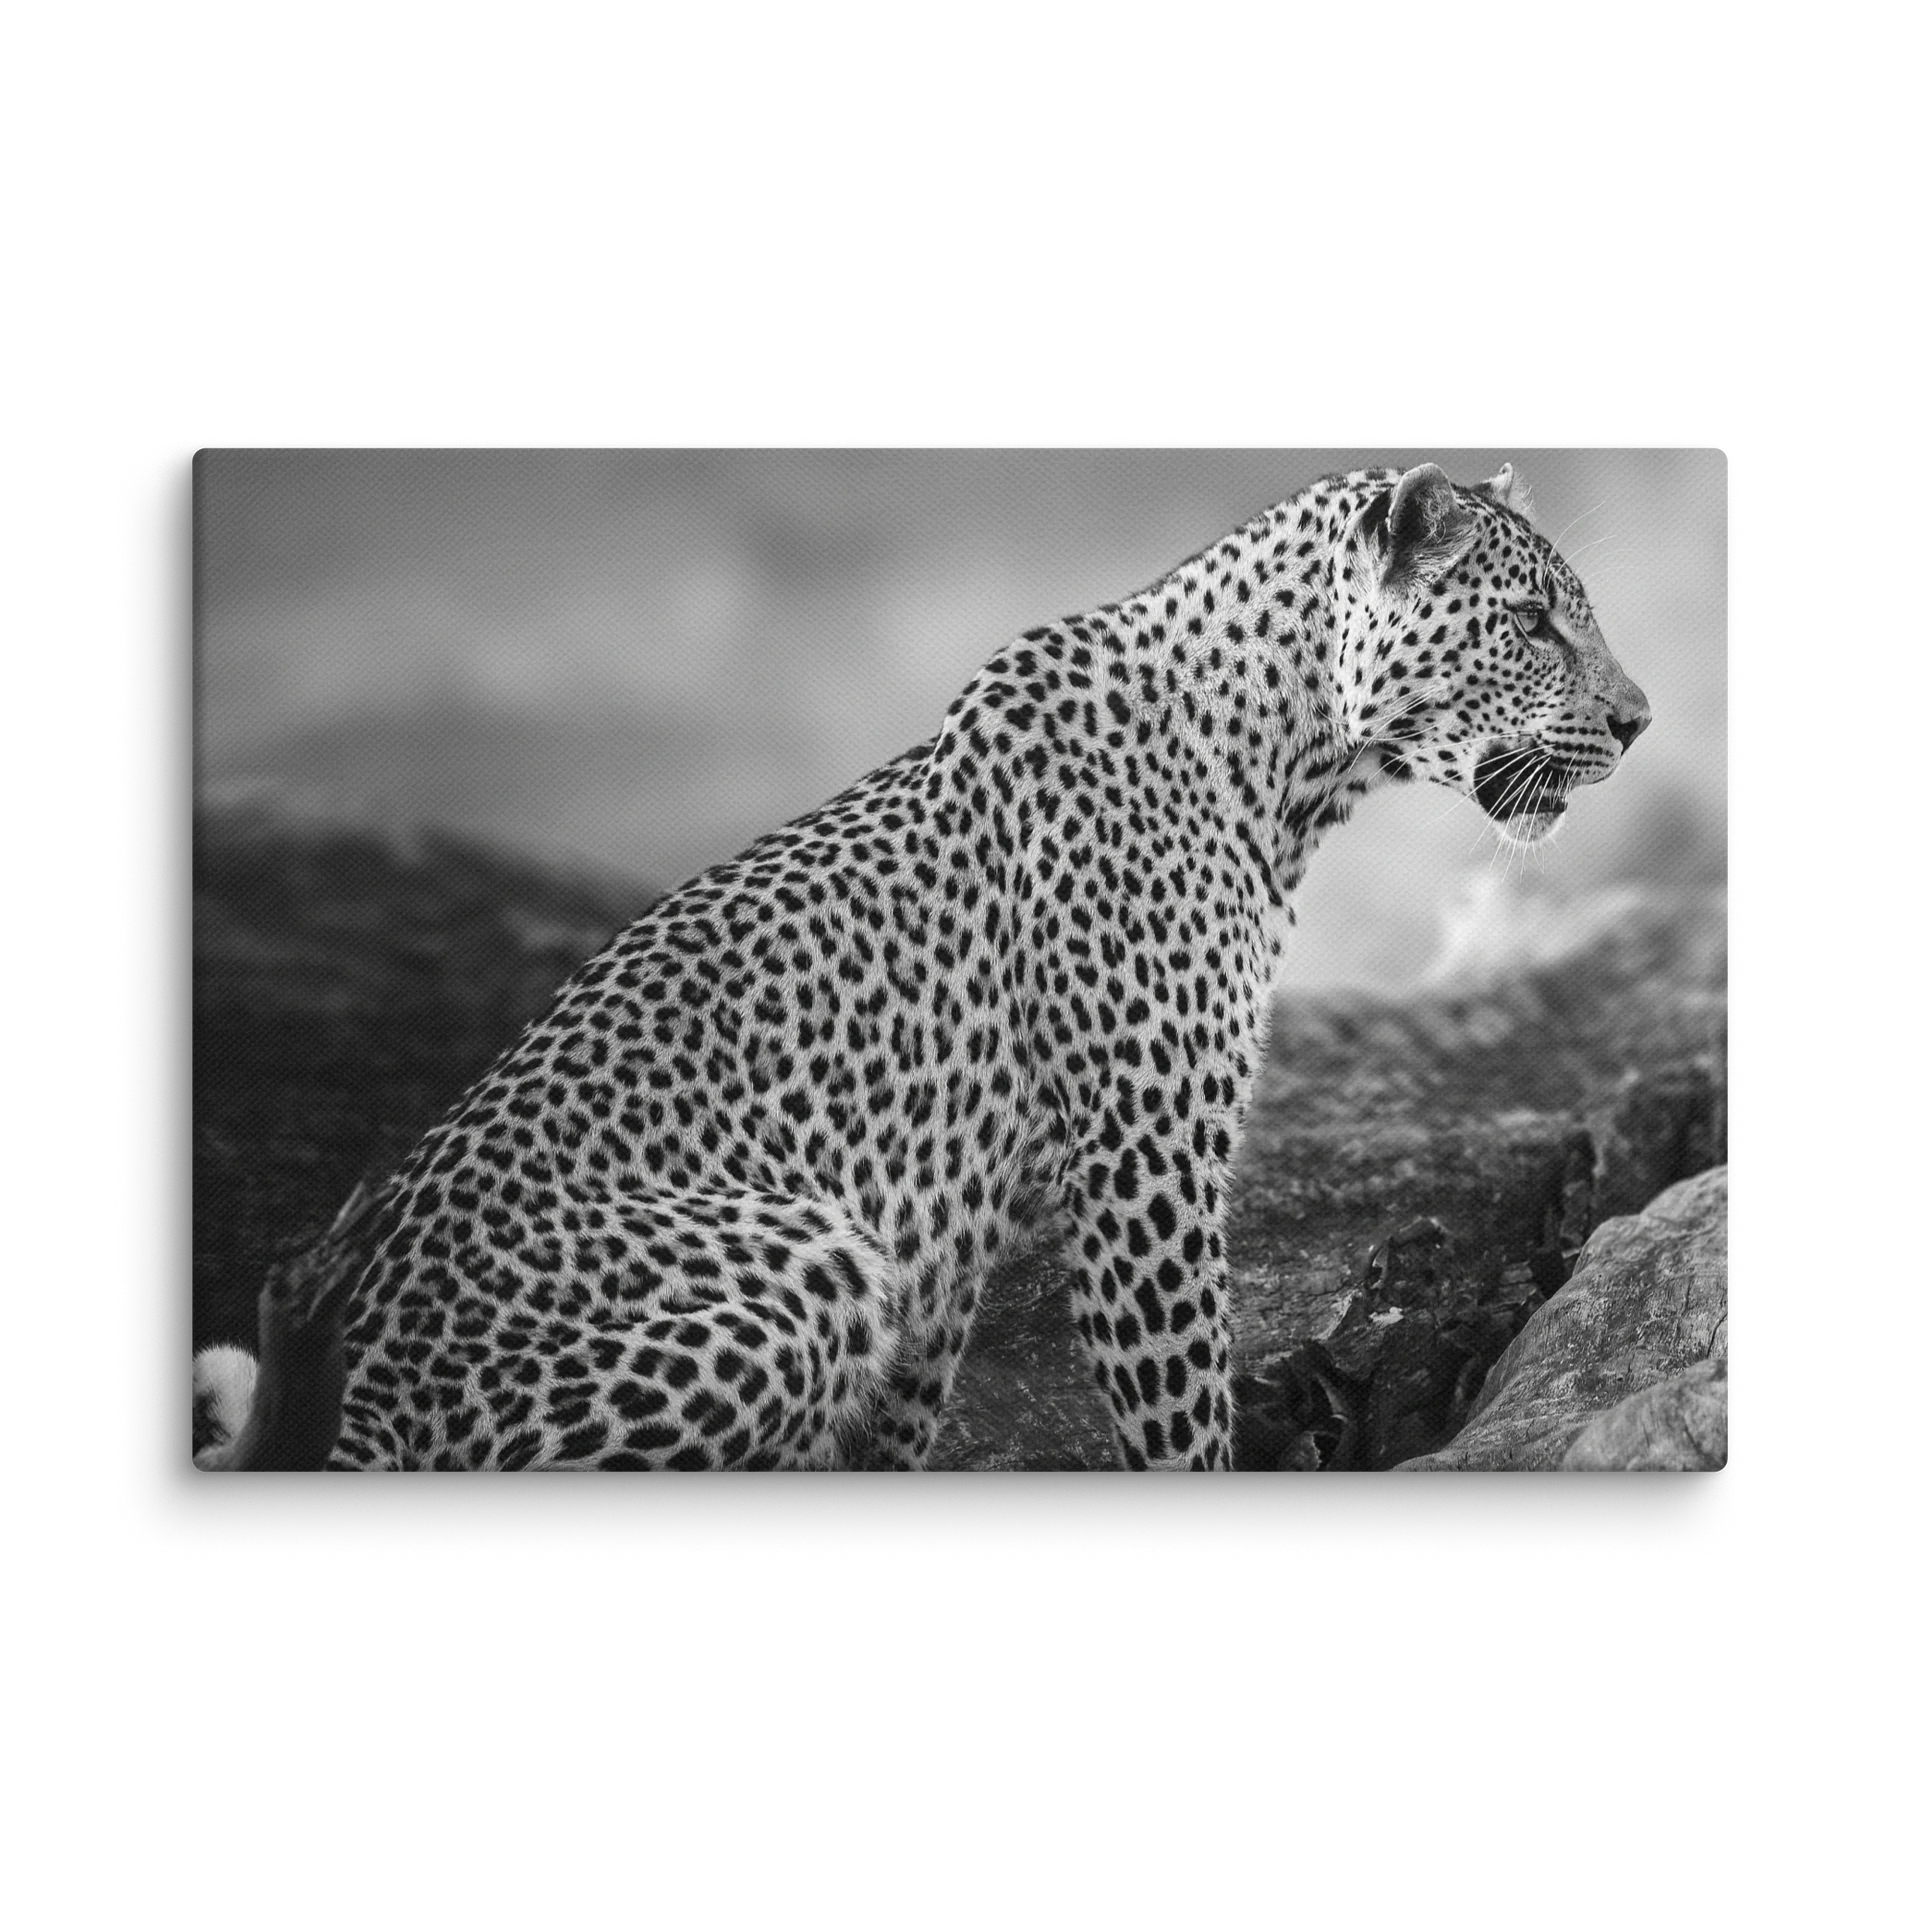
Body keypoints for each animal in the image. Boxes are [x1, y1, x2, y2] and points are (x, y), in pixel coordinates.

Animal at [193, 459, 1649, 1472]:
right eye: (1532, 621)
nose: (1640, 721)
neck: (1289, 767)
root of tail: (374, 1373)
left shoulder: (945, 1241)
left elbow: (897, 1424)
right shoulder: (1144, 1151)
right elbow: (1177, 1399)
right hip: (803, 1259)